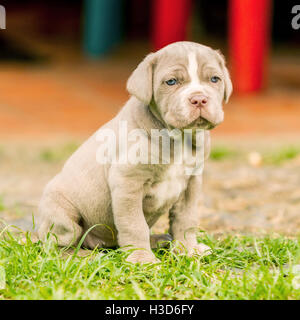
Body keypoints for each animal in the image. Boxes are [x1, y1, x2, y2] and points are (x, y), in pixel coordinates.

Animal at [37, 41, 233, 264]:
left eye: (215, 79)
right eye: (171, 82)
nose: (199, 99)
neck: (178, 137)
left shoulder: (191, 184)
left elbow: (186, 219)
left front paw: (188, 249)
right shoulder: (127, 182)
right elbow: (134, 224)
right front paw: (142, 259)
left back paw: (158, 240)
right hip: (61, 213)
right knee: (56, 246)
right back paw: (83, 256)